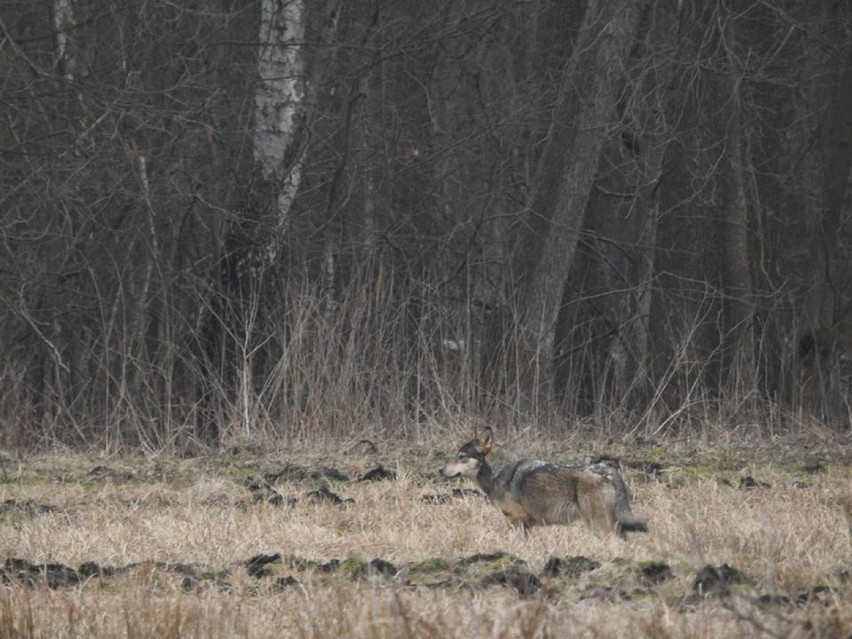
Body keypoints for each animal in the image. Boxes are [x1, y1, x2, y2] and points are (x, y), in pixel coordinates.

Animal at [440, 430, 644, 540]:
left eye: (461, 456)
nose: (440, 470)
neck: (497, 471)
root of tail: (608, 471)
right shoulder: (525, 524)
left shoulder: (515, 520)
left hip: (600, 525)